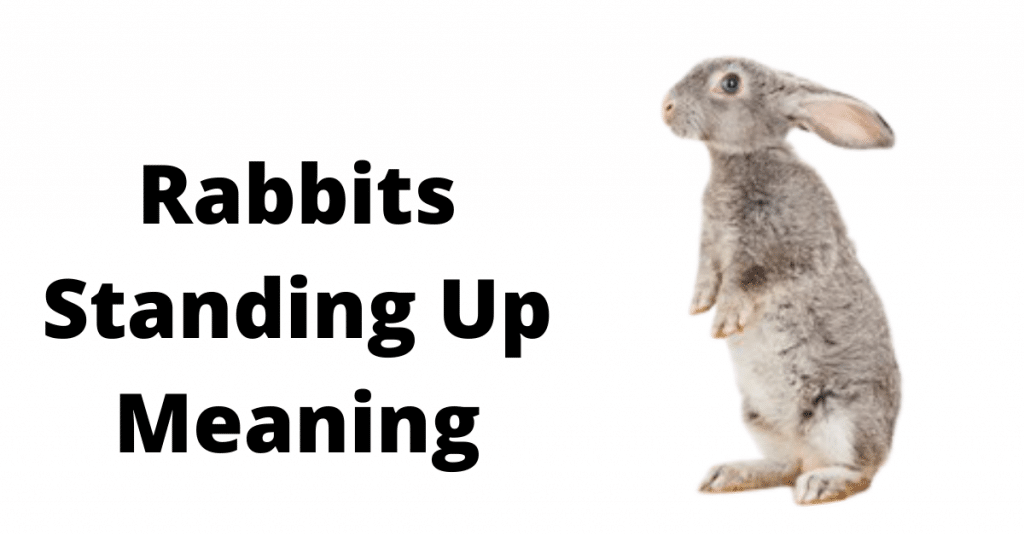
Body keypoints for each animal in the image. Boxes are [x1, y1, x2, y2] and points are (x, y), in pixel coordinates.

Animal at [662, 57, 900, 505]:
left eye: (730, 83)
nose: (666, 106)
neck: (743, 157)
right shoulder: (712, 245)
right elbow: (707, 273)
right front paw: (698, 305)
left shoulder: (784, 247)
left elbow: (747, 281)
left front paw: (724, 320)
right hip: (761, 419)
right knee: (787, 465)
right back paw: (730, 474)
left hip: (844, 415)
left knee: (858, 471)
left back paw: (821, 483)